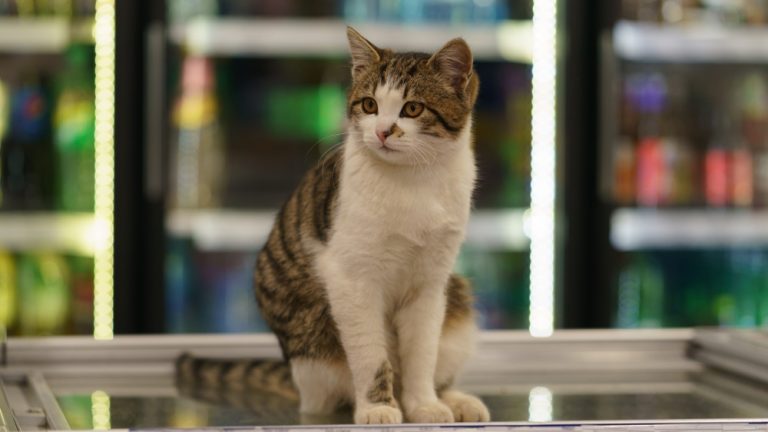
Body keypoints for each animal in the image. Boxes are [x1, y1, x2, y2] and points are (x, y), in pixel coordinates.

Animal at [177, 27, 488, 426]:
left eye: (413, 108)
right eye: (369, 105)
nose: (383, 132)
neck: (414, 181)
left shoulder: (431, 283)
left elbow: (422, 353)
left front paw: (424, 404)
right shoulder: (351, 279)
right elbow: (370, 355)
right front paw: (378, 408)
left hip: (457, 297)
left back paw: (455, 399)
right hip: (315, 345)